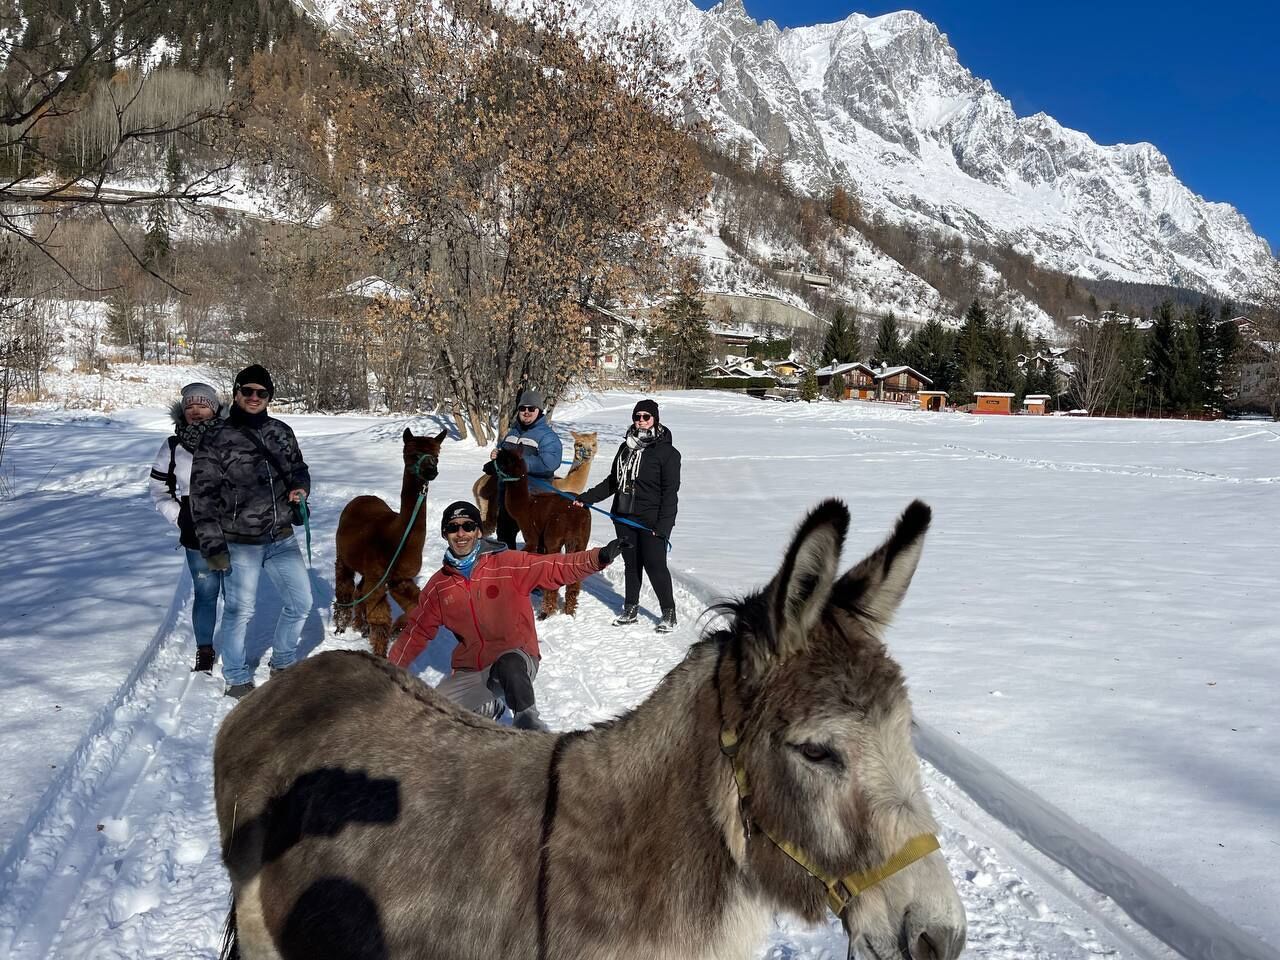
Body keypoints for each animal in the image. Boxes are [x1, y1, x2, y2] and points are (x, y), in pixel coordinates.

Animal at [332, 427, 446, 657]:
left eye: (437, 457)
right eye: (413, 455)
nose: (431, 471)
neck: (394, 537)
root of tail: (362, 497)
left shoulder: (399, 578)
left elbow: (415, 607)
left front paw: (396, 631)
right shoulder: (380, 575)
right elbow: (380, 619)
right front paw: (380, 654)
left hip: (368, 570)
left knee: (359, 590)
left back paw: (361, 626)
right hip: (344, 556)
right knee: (345, 587)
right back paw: (341, 625)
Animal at [493, 446, 592, 618]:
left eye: (501, 460)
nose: (487, 465)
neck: (526, 505)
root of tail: (575, 517)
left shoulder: (531, 536)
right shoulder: (540, 541)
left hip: (554, 535)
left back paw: (545, 612)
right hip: (581, 540)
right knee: (574, 580)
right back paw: (569, 611)